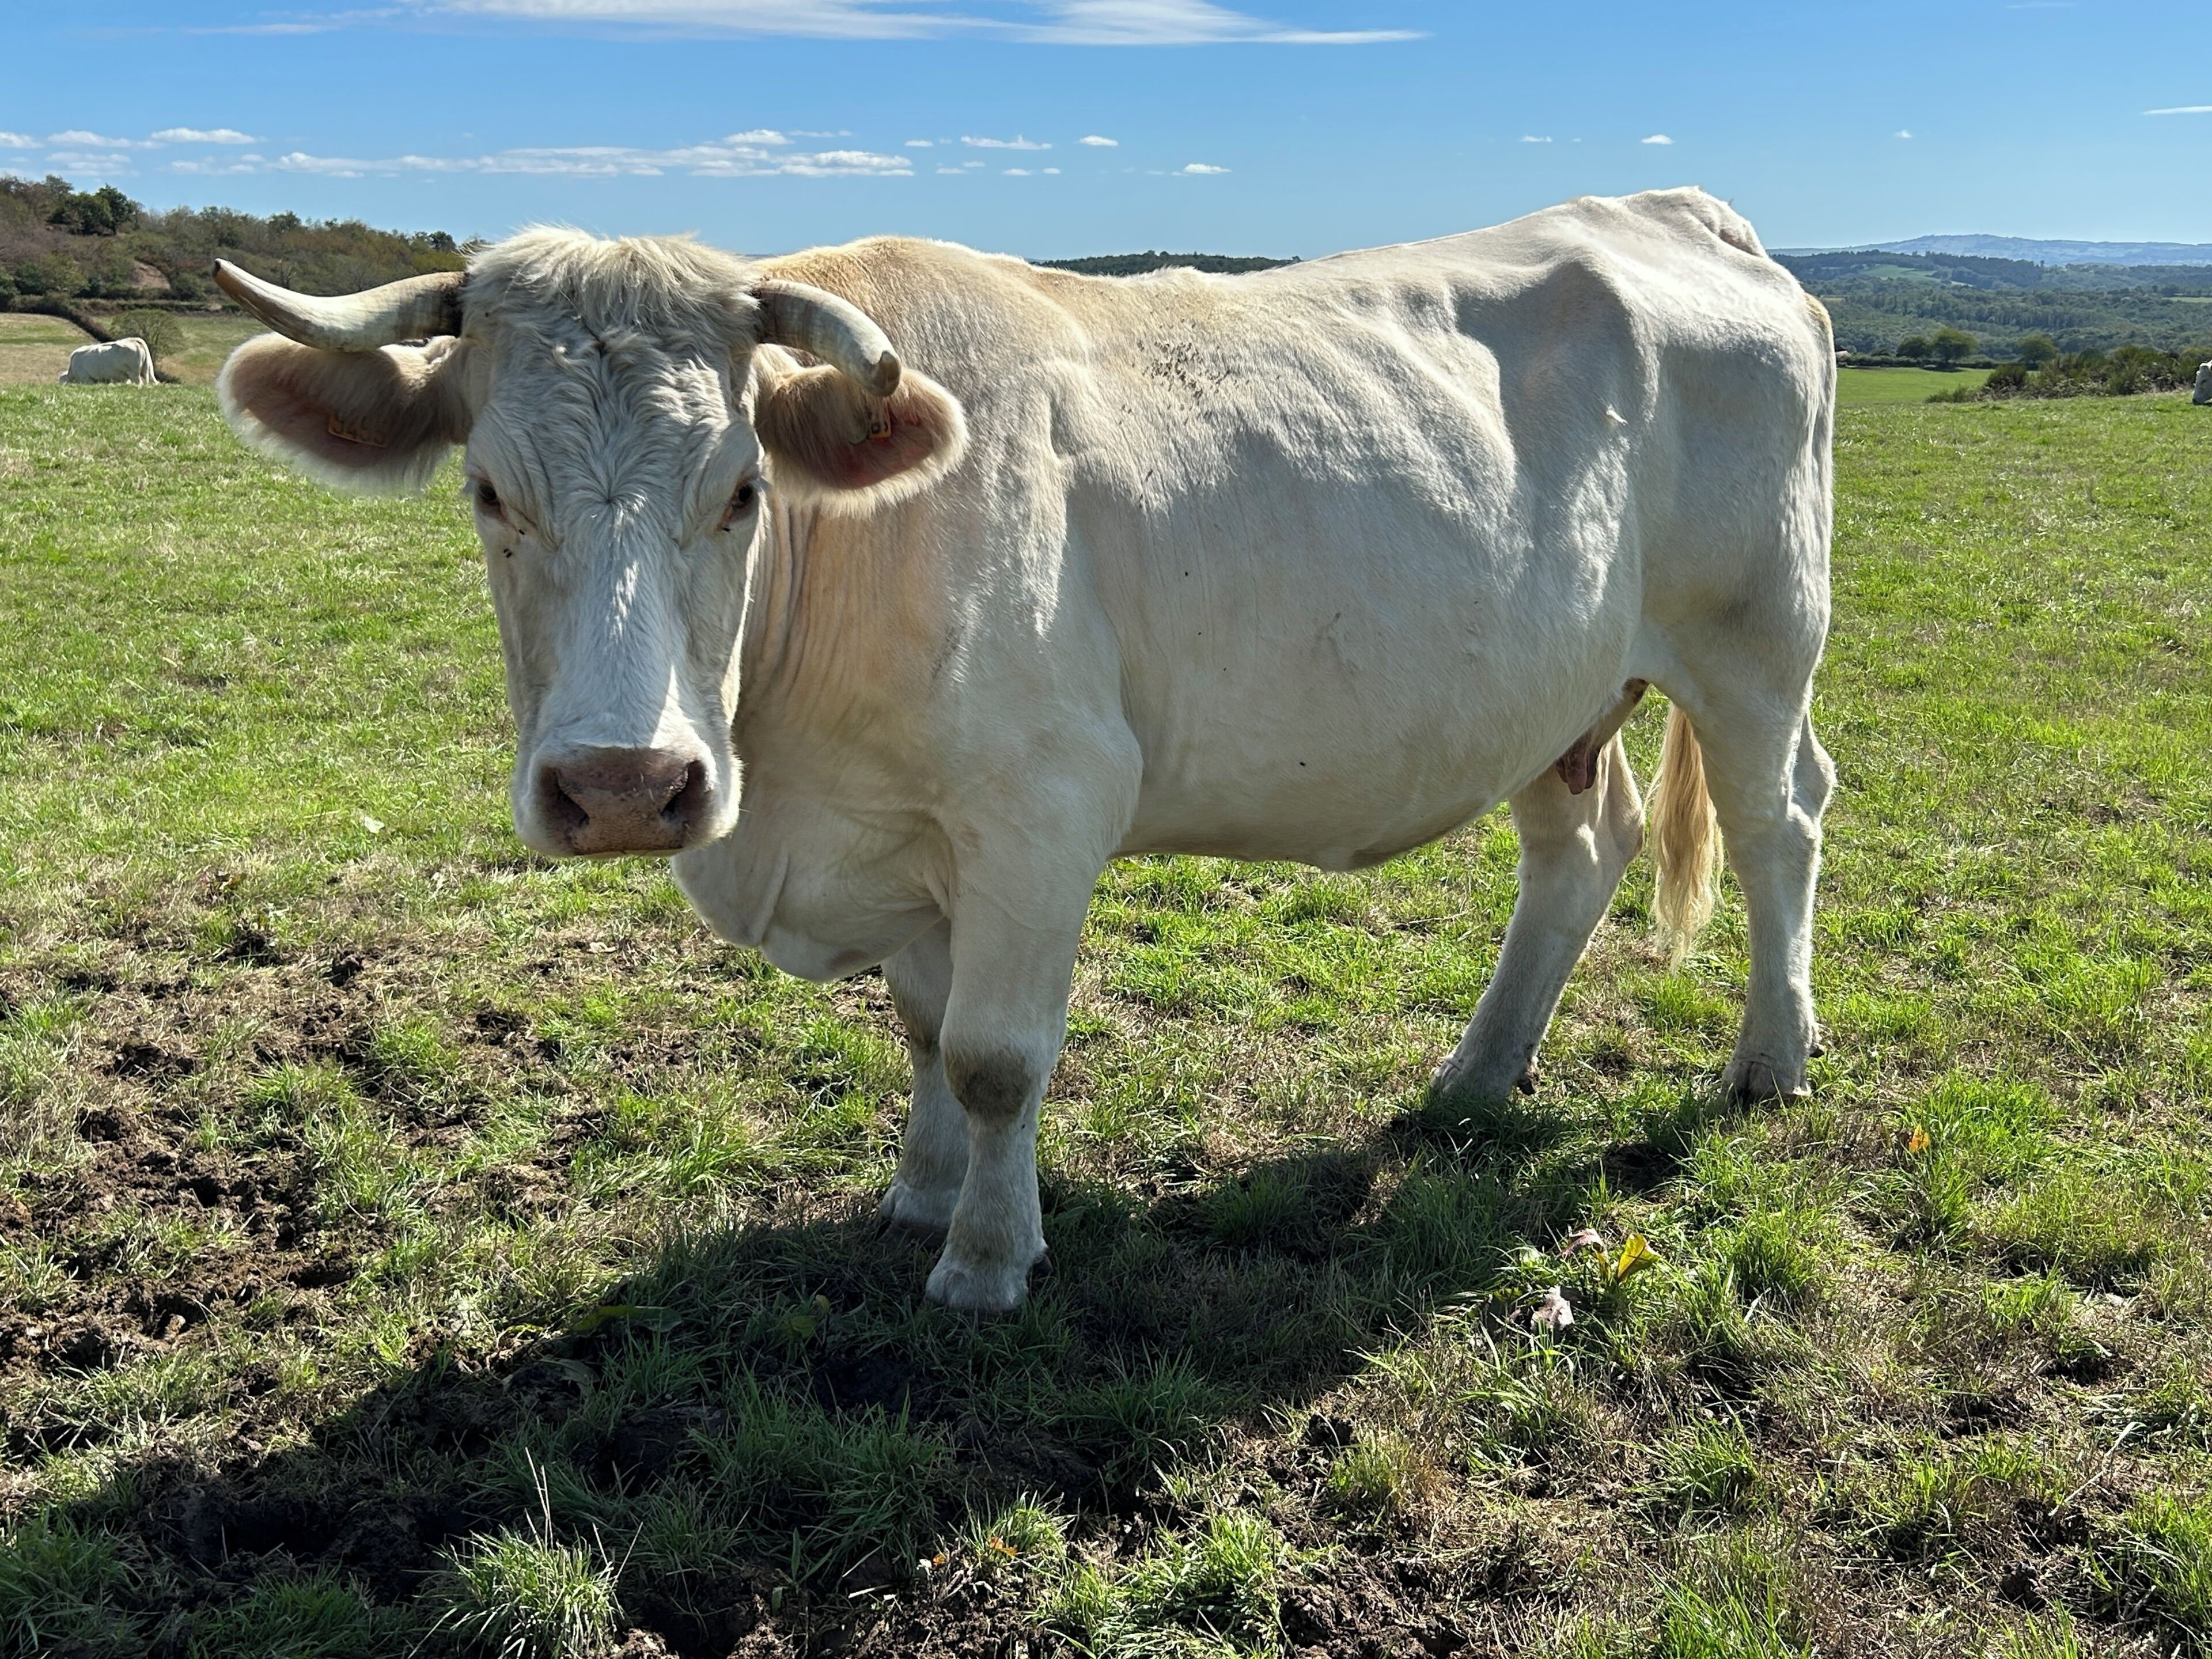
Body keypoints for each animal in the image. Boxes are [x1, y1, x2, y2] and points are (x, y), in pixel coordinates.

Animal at [211, 187, 1837, 1312]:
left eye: (740, 489)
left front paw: (987, 1260)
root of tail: (1677, 212)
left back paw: (1769, 1059)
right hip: (1562, 694)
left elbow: (997, 1056)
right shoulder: (911, 840)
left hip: (1757, 643)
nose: (624, 786)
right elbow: (924, 1030)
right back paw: (1478, 1074)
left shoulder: (1040, 813)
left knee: (1781, 828)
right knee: (1578, 851)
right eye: (489, 491)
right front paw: (918, 1198)